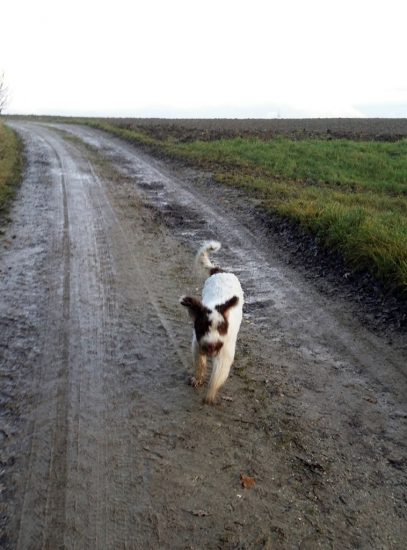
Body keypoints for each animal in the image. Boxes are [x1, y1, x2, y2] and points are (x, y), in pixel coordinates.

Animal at [180, 242, 244, 406]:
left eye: (221, 328)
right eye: (203, 327)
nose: (211, 346)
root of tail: (220, 271)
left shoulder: (224, 356)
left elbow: (216, 378)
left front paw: (209, 395)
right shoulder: (197, 346)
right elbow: (200, 365)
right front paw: (197, 380)